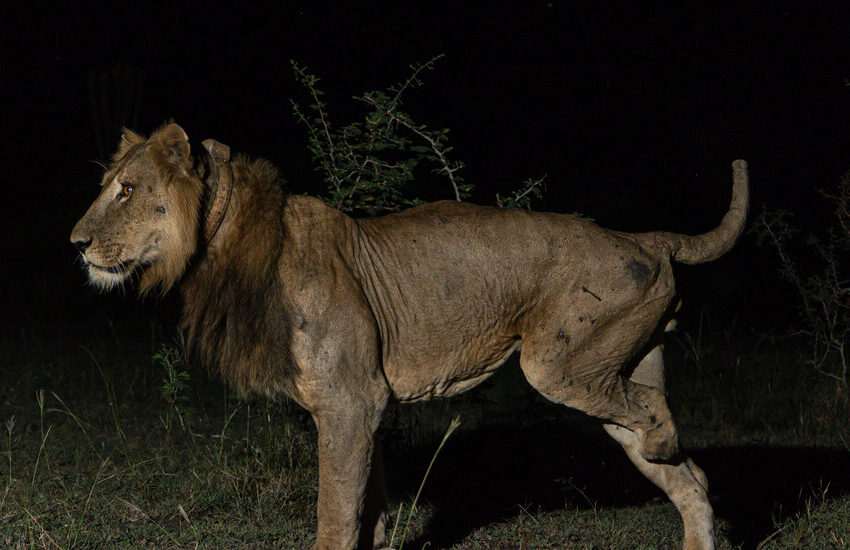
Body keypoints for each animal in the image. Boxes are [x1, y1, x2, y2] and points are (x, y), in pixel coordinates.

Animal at [74, 125, 748, 550]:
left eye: (127, 190)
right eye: (108, 185)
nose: (76, 243)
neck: (225, 245)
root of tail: (645, 238)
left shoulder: (350, 403)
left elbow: (335, 517)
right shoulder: (362, 408)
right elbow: (365, 507)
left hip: (558, 363)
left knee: (657, 418)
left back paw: (664, 440)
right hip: (615, 369)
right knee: (691, 481)